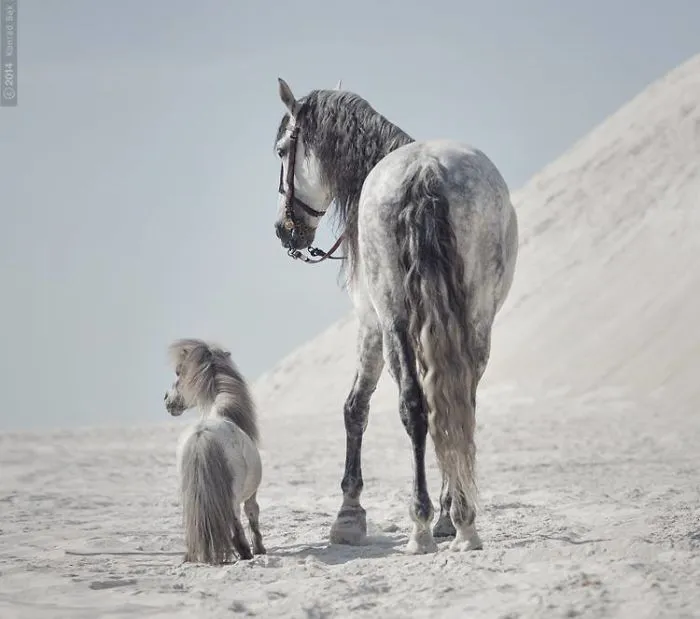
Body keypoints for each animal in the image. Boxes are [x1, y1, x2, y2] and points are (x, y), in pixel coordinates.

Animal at [164, 338, 266, 564]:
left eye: (178, 372)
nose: (166, 400)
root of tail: (201, 435)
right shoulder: (251, 494)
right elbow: (253, 513)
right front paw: (260, 548)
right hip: (232, 498)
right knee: (236, 526)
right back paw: (245, 554)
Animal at [272, 78, 518, 554]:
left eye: (280, 151)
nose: (283, 229)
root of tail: (425, 171)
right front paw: (448, 514)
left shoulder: (370, 322)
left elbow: (355, 407)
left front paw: (349, 516)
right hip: (477, 318)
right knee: (457, 401)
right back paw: (462, 522)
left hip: (393, 318)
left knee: (415, 406)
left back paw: (422, 525)